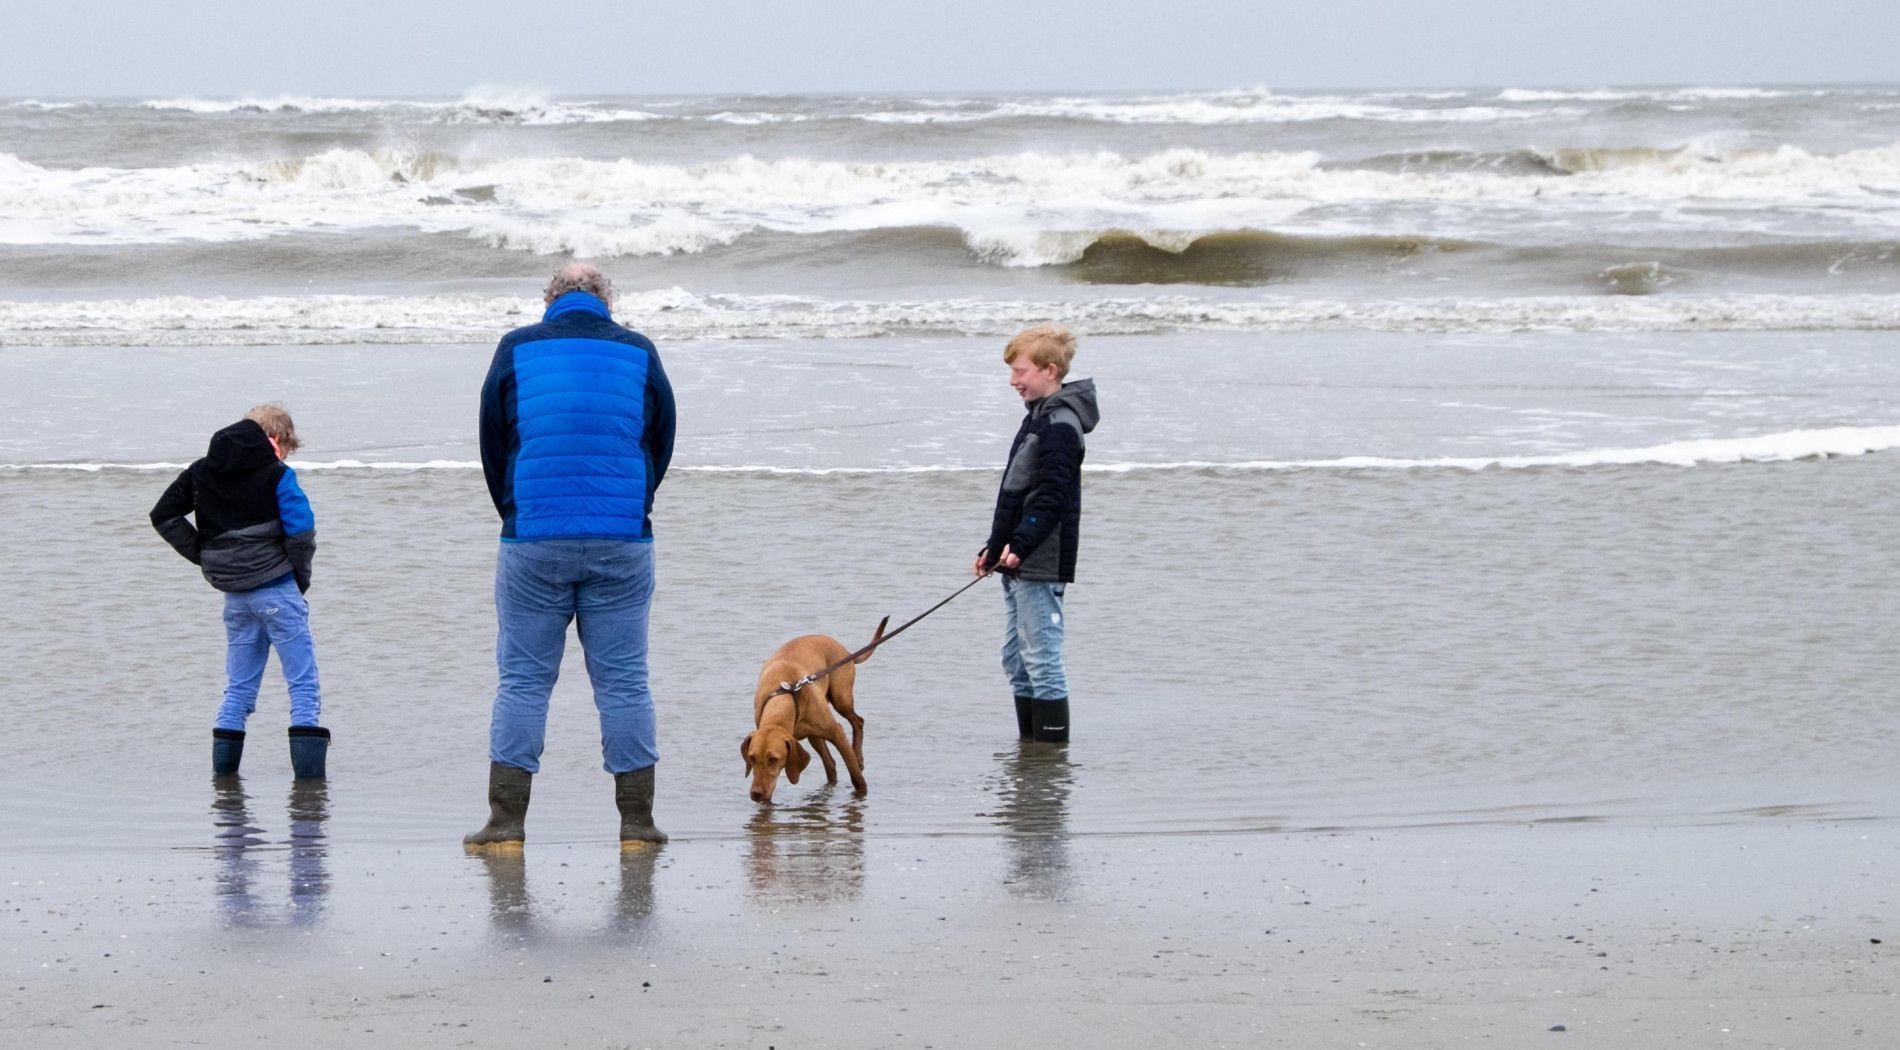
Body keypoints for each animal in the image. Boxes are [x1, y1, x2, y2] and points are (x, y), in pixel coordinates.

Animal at [744, 622, 885, 801]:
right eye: (751, 758)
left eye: (773, 759)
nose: (756, 794)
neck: (784, 697)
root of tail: (845, 650)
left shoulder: (837, 733)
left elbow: (855, 775)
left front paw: (861, 790)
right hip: (814, 735)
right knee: (831, 764)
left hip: (841, 698)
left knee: (858, 721)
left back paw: (858, 756)